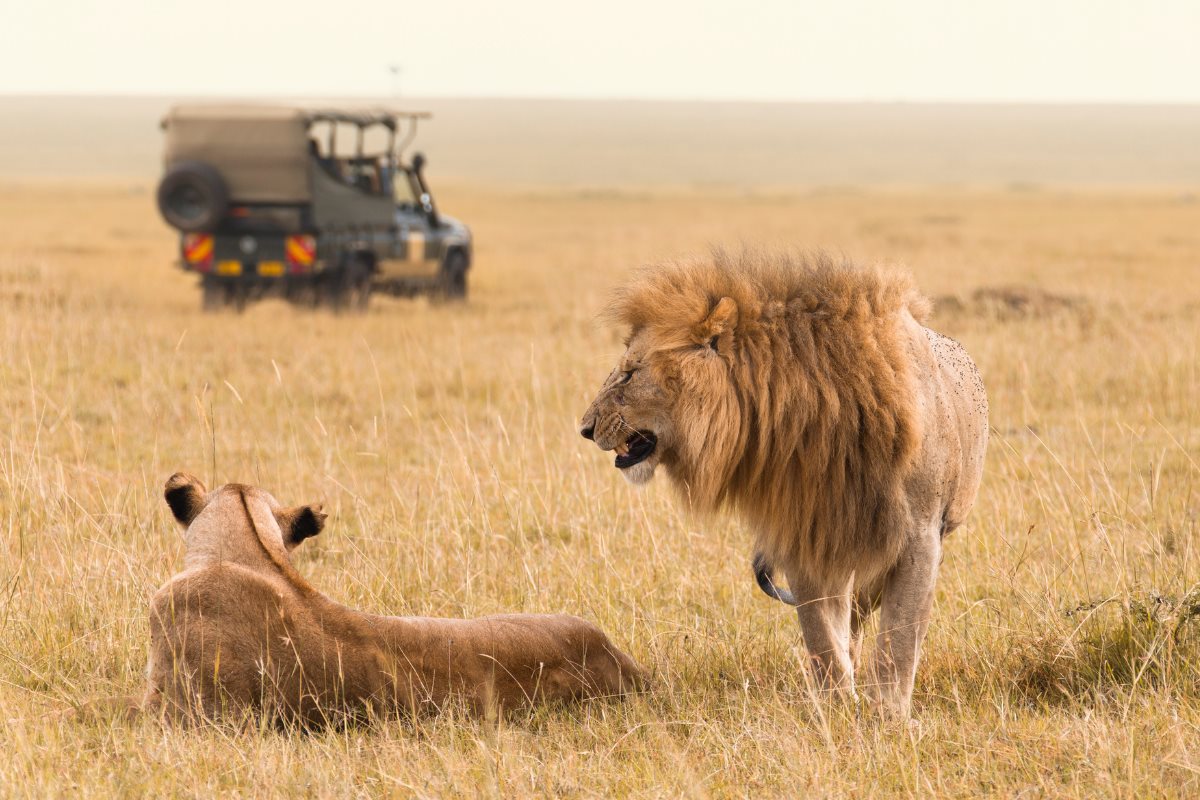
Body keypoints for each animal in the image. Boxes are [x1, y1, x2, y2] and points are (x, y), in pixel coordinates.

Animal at [580, 253, 984, 714]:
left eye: (630, 374)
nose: (585, 429)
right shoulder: (806, 532)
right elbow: (821, 634)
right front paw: (836, 707)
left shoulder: (920, 535)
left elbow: (900, 636)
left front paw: (889, 714)